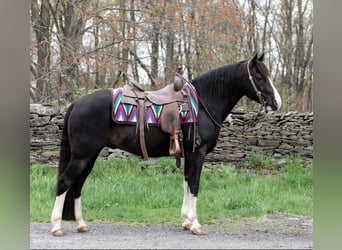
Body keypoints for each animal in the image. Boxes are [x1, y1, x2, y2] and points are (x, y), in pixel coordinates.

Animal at [50, 53, 280, 236]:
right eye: (259, 76)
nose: (277, 102)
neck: (202, 104)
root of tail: (76, 104)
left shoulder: (189, 154)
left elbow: (187, 183)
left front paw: (186, 221)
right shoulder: (198, 153)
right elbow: (194, 185)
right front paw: (195, 224)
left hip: (89, 156)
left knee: (77, 185)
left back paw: (81, 224)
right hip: (82, 156)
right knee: (64, 182)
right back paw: (57, 226)